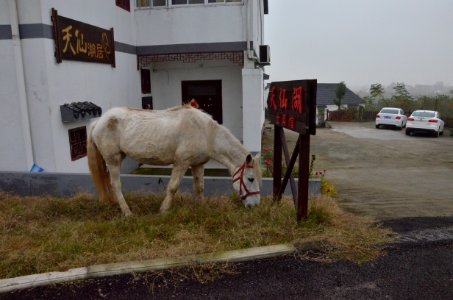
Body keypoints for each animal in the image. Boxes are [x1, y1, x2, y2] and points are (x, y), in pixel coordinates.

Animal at [86, 103, 260, 216]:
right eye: (250, 179)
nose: (254, 206)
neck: (206, 133)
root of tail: (99, 121)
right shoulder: (181, 163)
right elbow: (172, 187)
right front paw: (163, 210)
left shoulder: (198, 164)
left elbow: (199, 187)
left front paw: (201, 208)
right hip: (113, 159)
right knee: (116, 185)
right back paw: (127, 213)